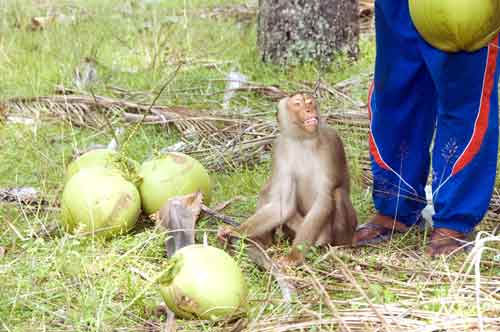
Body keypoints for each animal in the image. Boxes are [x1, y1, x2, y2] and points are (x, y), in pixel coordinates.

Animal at [221, 92, 358, 266]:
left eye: (310, 102)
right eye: (298, 104)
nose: (309, 109)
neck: (303, 139)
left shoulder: (331, 142)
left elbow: (324, 199)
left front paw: (295, 255)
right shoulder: (279, 147)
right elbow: (283, 205)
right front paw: (236, 231)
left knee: (338, 194)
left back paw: (337, 246)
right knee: (269, 191)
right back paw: (265, 242)